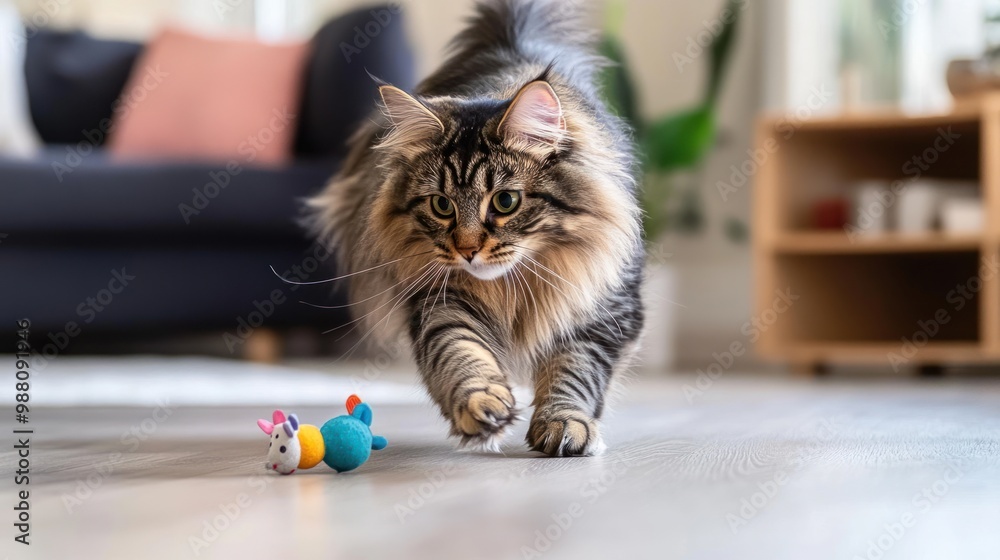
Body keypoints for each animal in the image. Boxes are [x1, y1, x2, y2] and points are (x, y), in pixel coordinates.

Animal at [308, 0, 644, 456]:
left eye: (505, 202)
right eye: (441, 205)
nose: (467, 250)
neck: (513, 288)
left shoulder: (602, 308)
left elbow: (573, 372)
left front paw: (564, 423)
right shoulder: (441, 300)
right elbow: (459, 352)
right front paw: (481, 405)